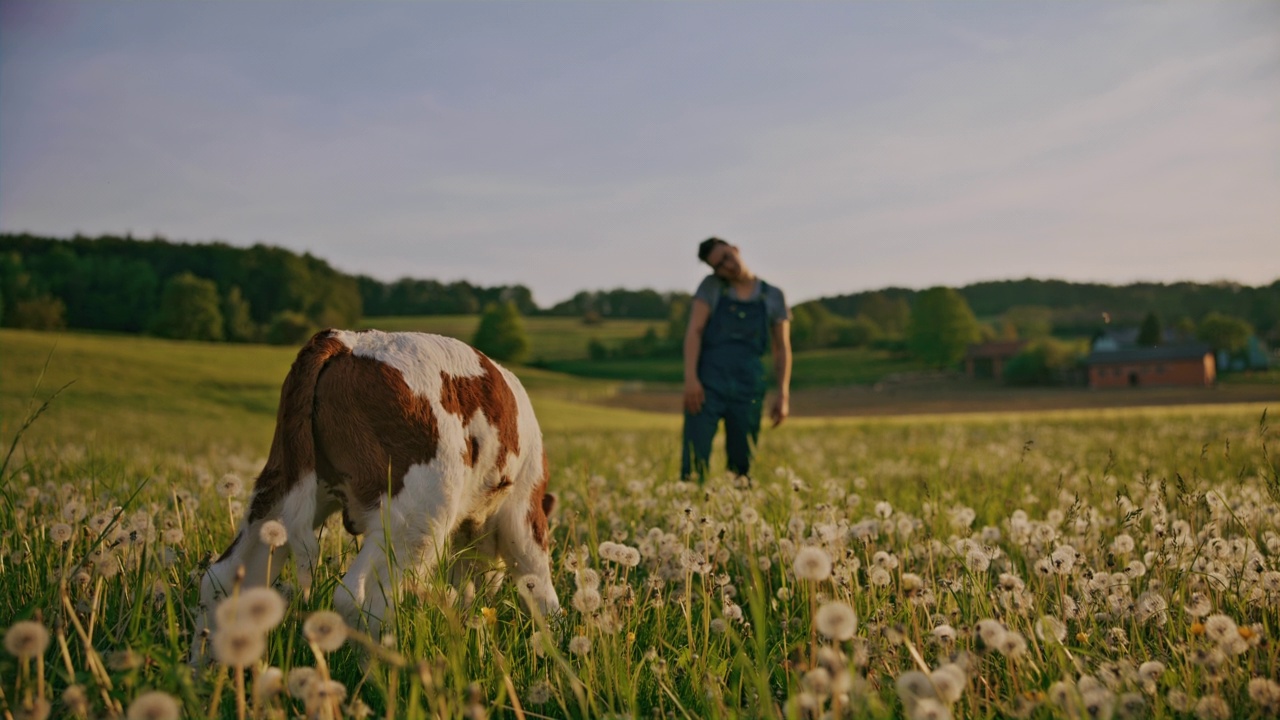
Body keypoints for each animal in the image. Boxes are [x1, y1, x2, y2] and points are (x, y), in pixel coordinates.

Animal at [195, 327, 560, 653]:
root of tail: (346, 340)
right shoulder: (525, 507)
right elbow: (536, 576)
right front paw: (555, 637)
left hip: (279, 488)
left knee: (226, 578)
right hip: (417, 511)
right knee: (359, 598)